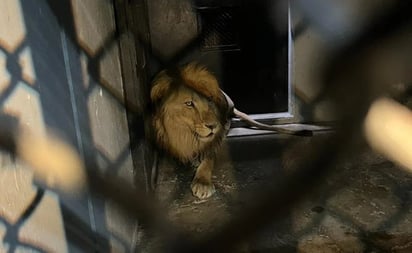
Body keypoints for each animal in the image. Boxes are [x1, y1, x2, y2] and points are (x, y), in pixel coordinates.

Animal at [150, 62, 230, 199]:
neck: (185, 133)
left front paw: (202, 183)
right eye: (189, 103)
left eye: (209, 100)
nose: (213, 126)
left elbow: (208, 159)